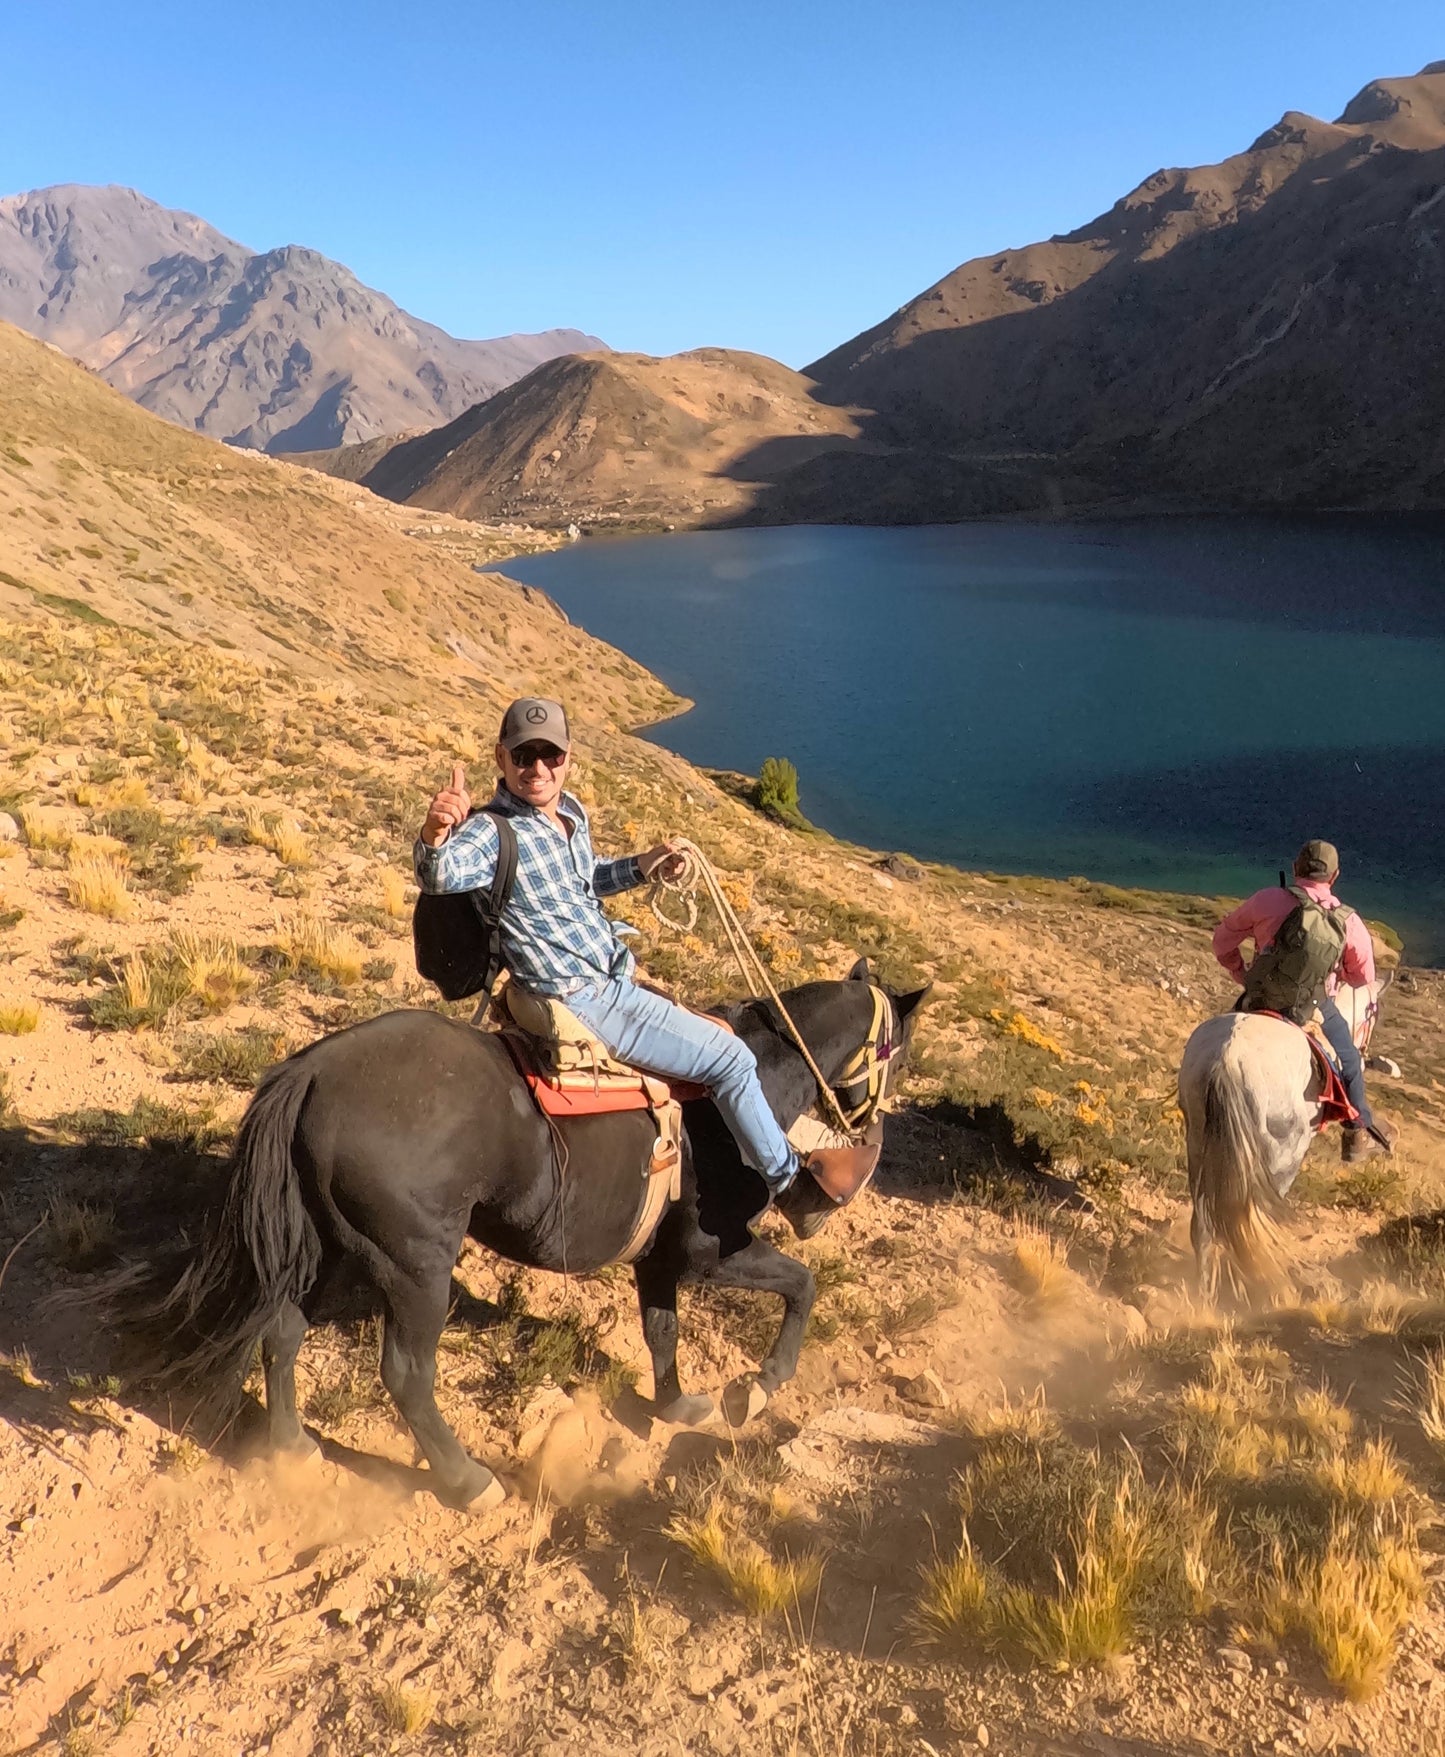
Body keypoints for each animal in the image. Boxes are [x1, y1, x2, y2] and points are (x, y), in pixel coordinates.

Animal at [107, 969, 935, 1503]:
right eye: (898, 1055)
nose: (867, 1129)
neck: (748, 1088)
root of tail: (312, 1070)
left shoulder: (658, 1261)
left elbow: (661, 1332)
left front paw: (677, 1406)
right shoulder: (710, 1251)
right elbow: (802, 1284)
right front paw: (755, 1388)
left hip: (326, 1247)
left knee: (281, 1332)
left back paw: (289, 1448)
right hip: (416, 1265)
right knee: (406, 1373)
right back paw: (466, 1480)